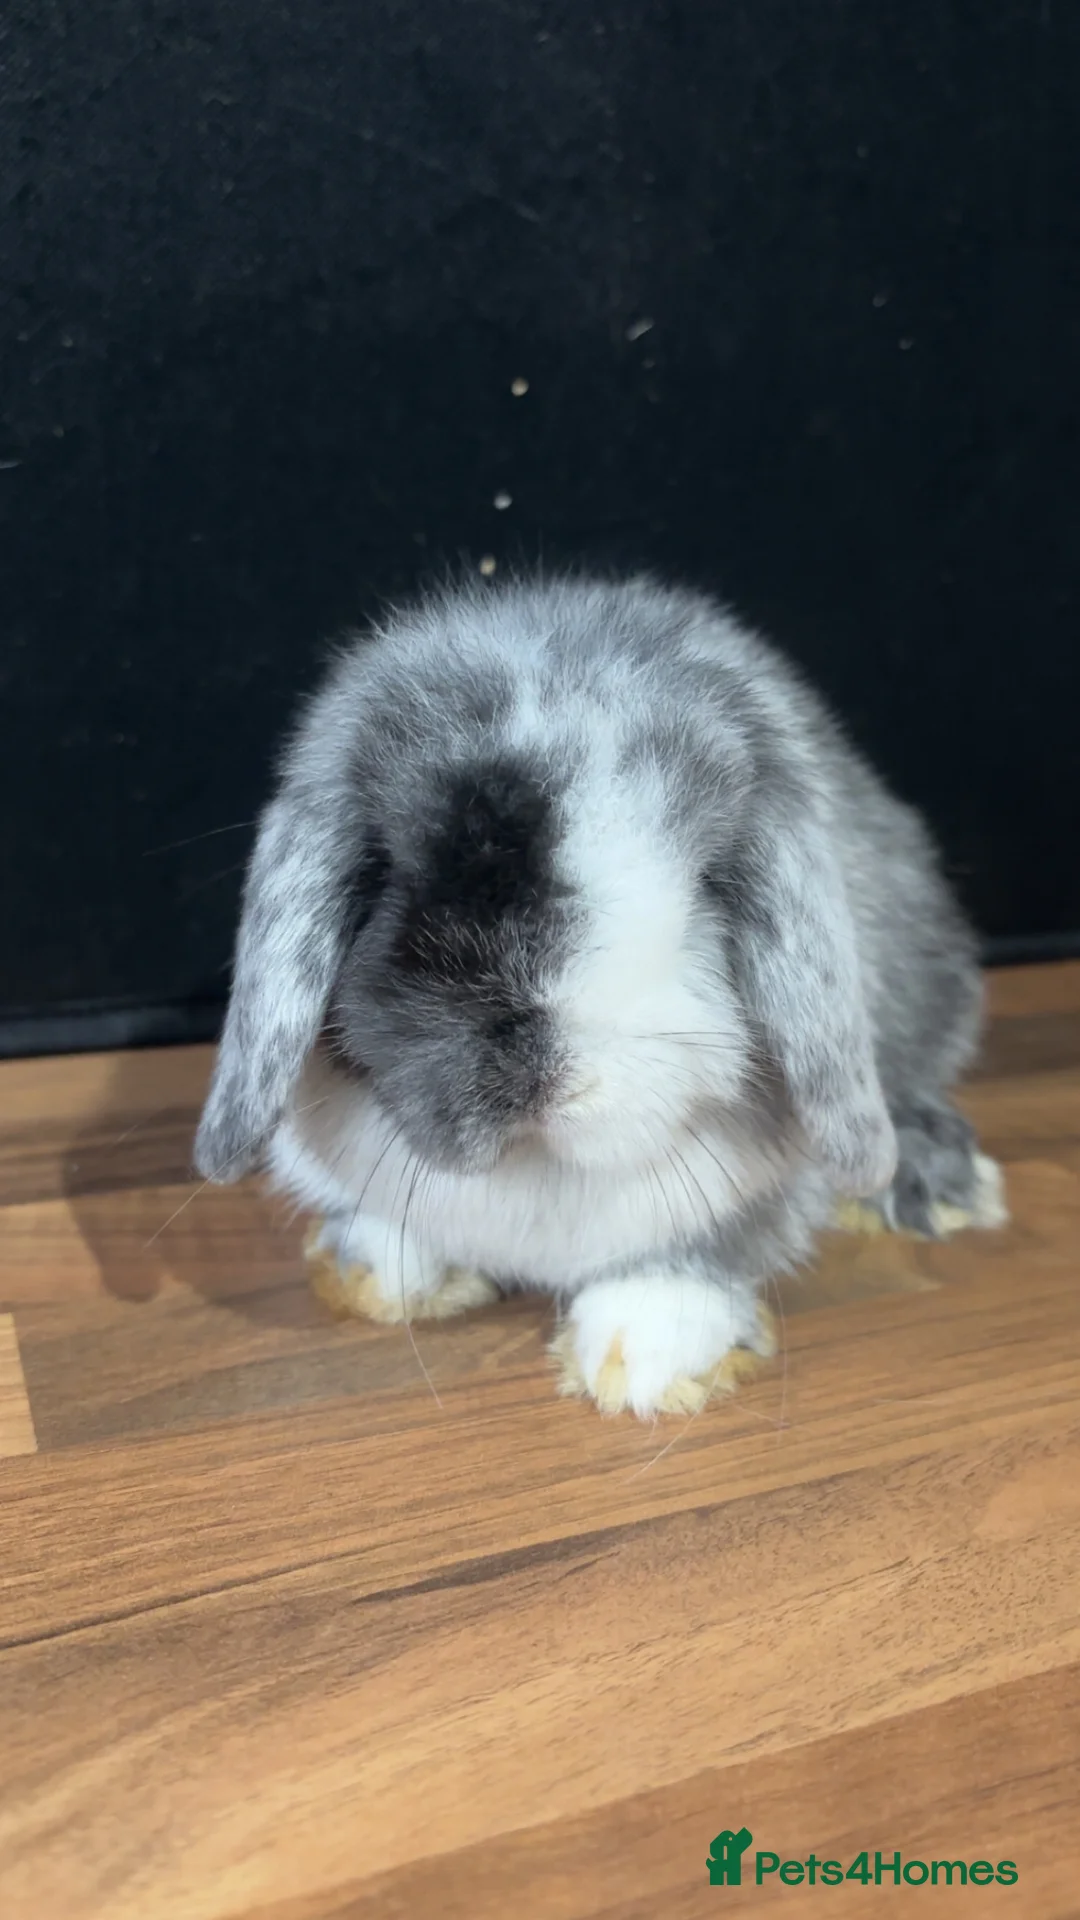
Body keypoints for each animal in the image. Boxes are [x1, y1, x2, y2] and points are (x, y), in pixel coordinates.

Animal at [194, 574, 1007, 1418]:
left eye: (708, 882)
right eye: (387, 867)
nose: (531, 1069)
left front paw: (648, 1349)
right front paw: (377, 1268)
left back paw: (934, 1186)